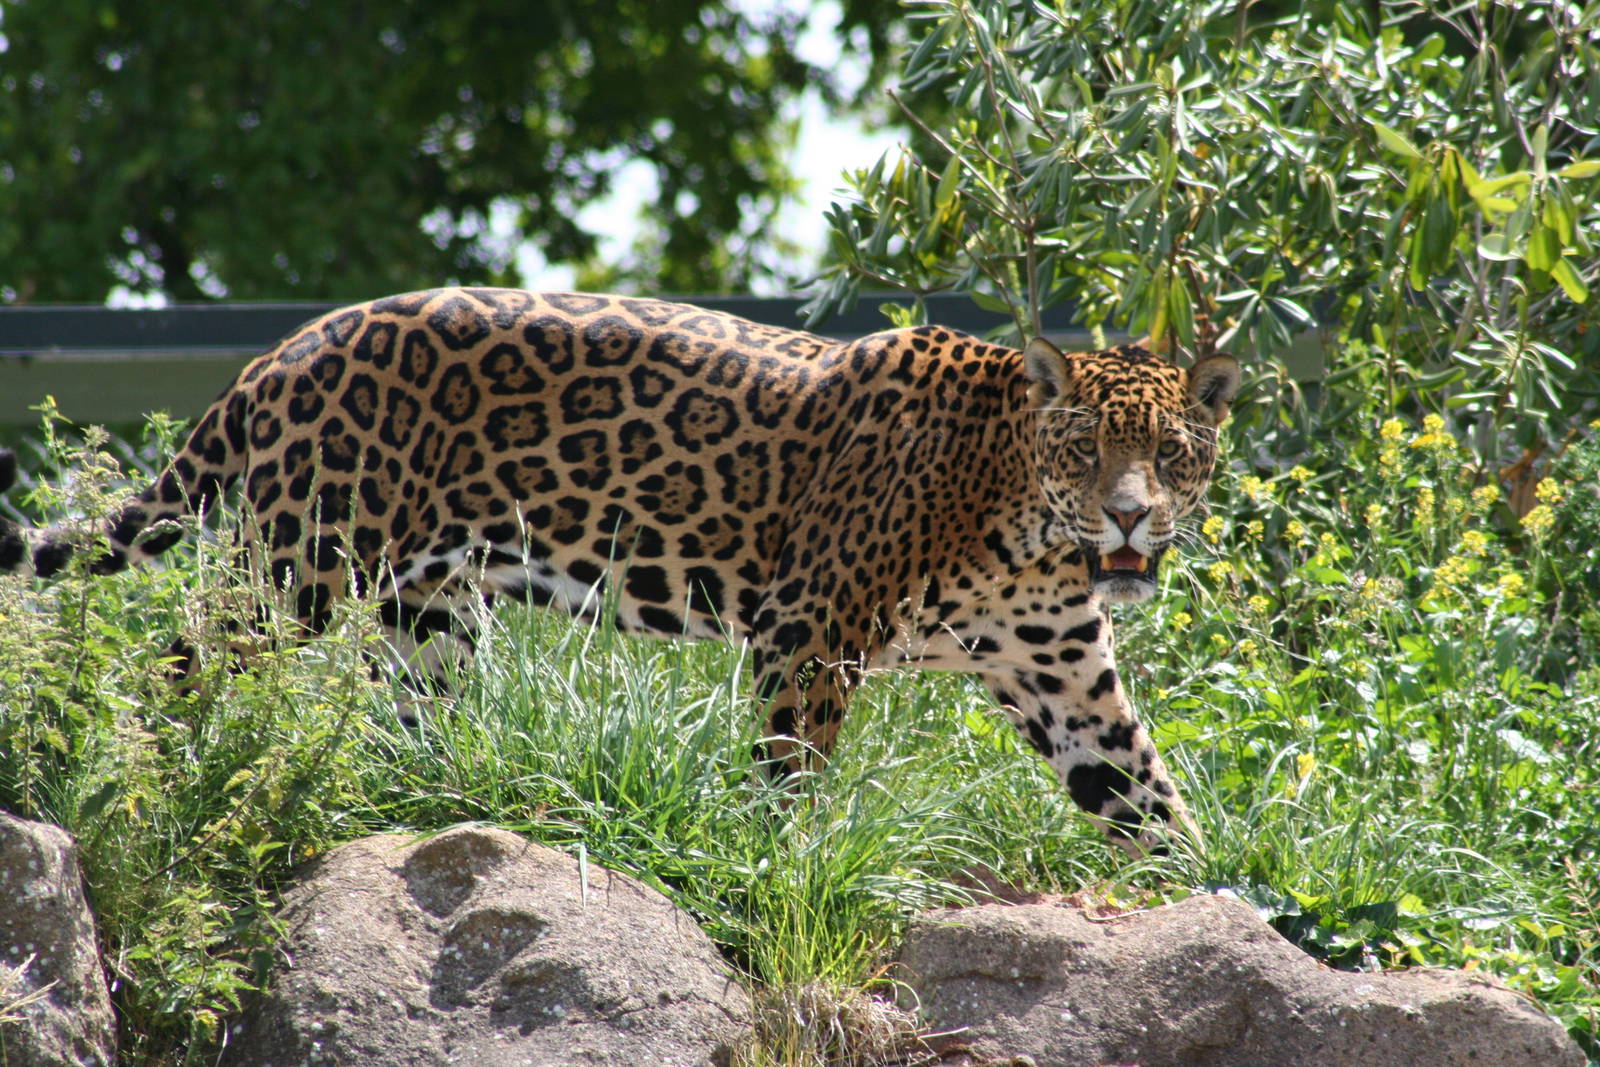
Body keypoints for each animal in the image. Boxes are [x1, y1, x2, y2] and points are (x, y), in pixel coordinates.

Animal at [0, 287, 1240, 853]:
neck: (1019, 516)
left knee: (414, 713)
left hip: (426, 611)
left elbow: (1150, 799)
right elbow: (790, 776)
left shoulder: (1061, 672)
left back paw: (443, 805)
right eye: (1086, 450)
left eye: (1173, 453)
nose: (1130, 518)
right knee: (170, 671)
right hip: (298, 565)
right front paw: (781, 868)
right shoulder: (810, 626)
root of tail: (276, 352)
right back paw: (138, 798)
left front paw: (1232, 903)